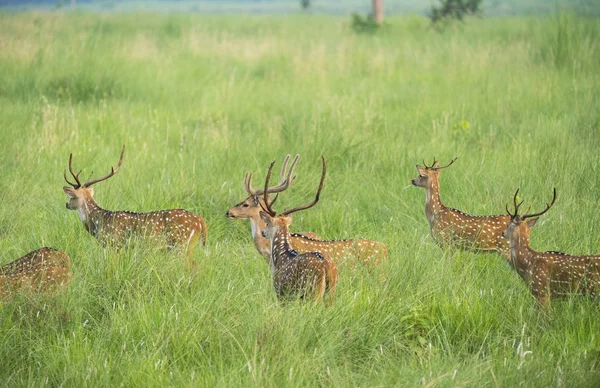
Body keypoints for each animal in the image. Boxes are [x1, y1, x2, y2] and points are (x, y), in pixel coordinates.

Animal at [62, 146, 209, 264]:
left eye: (72, 197)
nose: (67, 204)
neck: (99, 222)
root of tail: (200, 220)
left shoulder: (113, 243)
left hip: (183, 244)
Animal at [258, 156, 338, 302]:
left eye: (267, 224)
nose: (263, 232)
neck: (280, 255)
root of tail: (326, 266)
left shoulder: (281, 292)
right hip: (332, 291)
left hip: (314, 291)